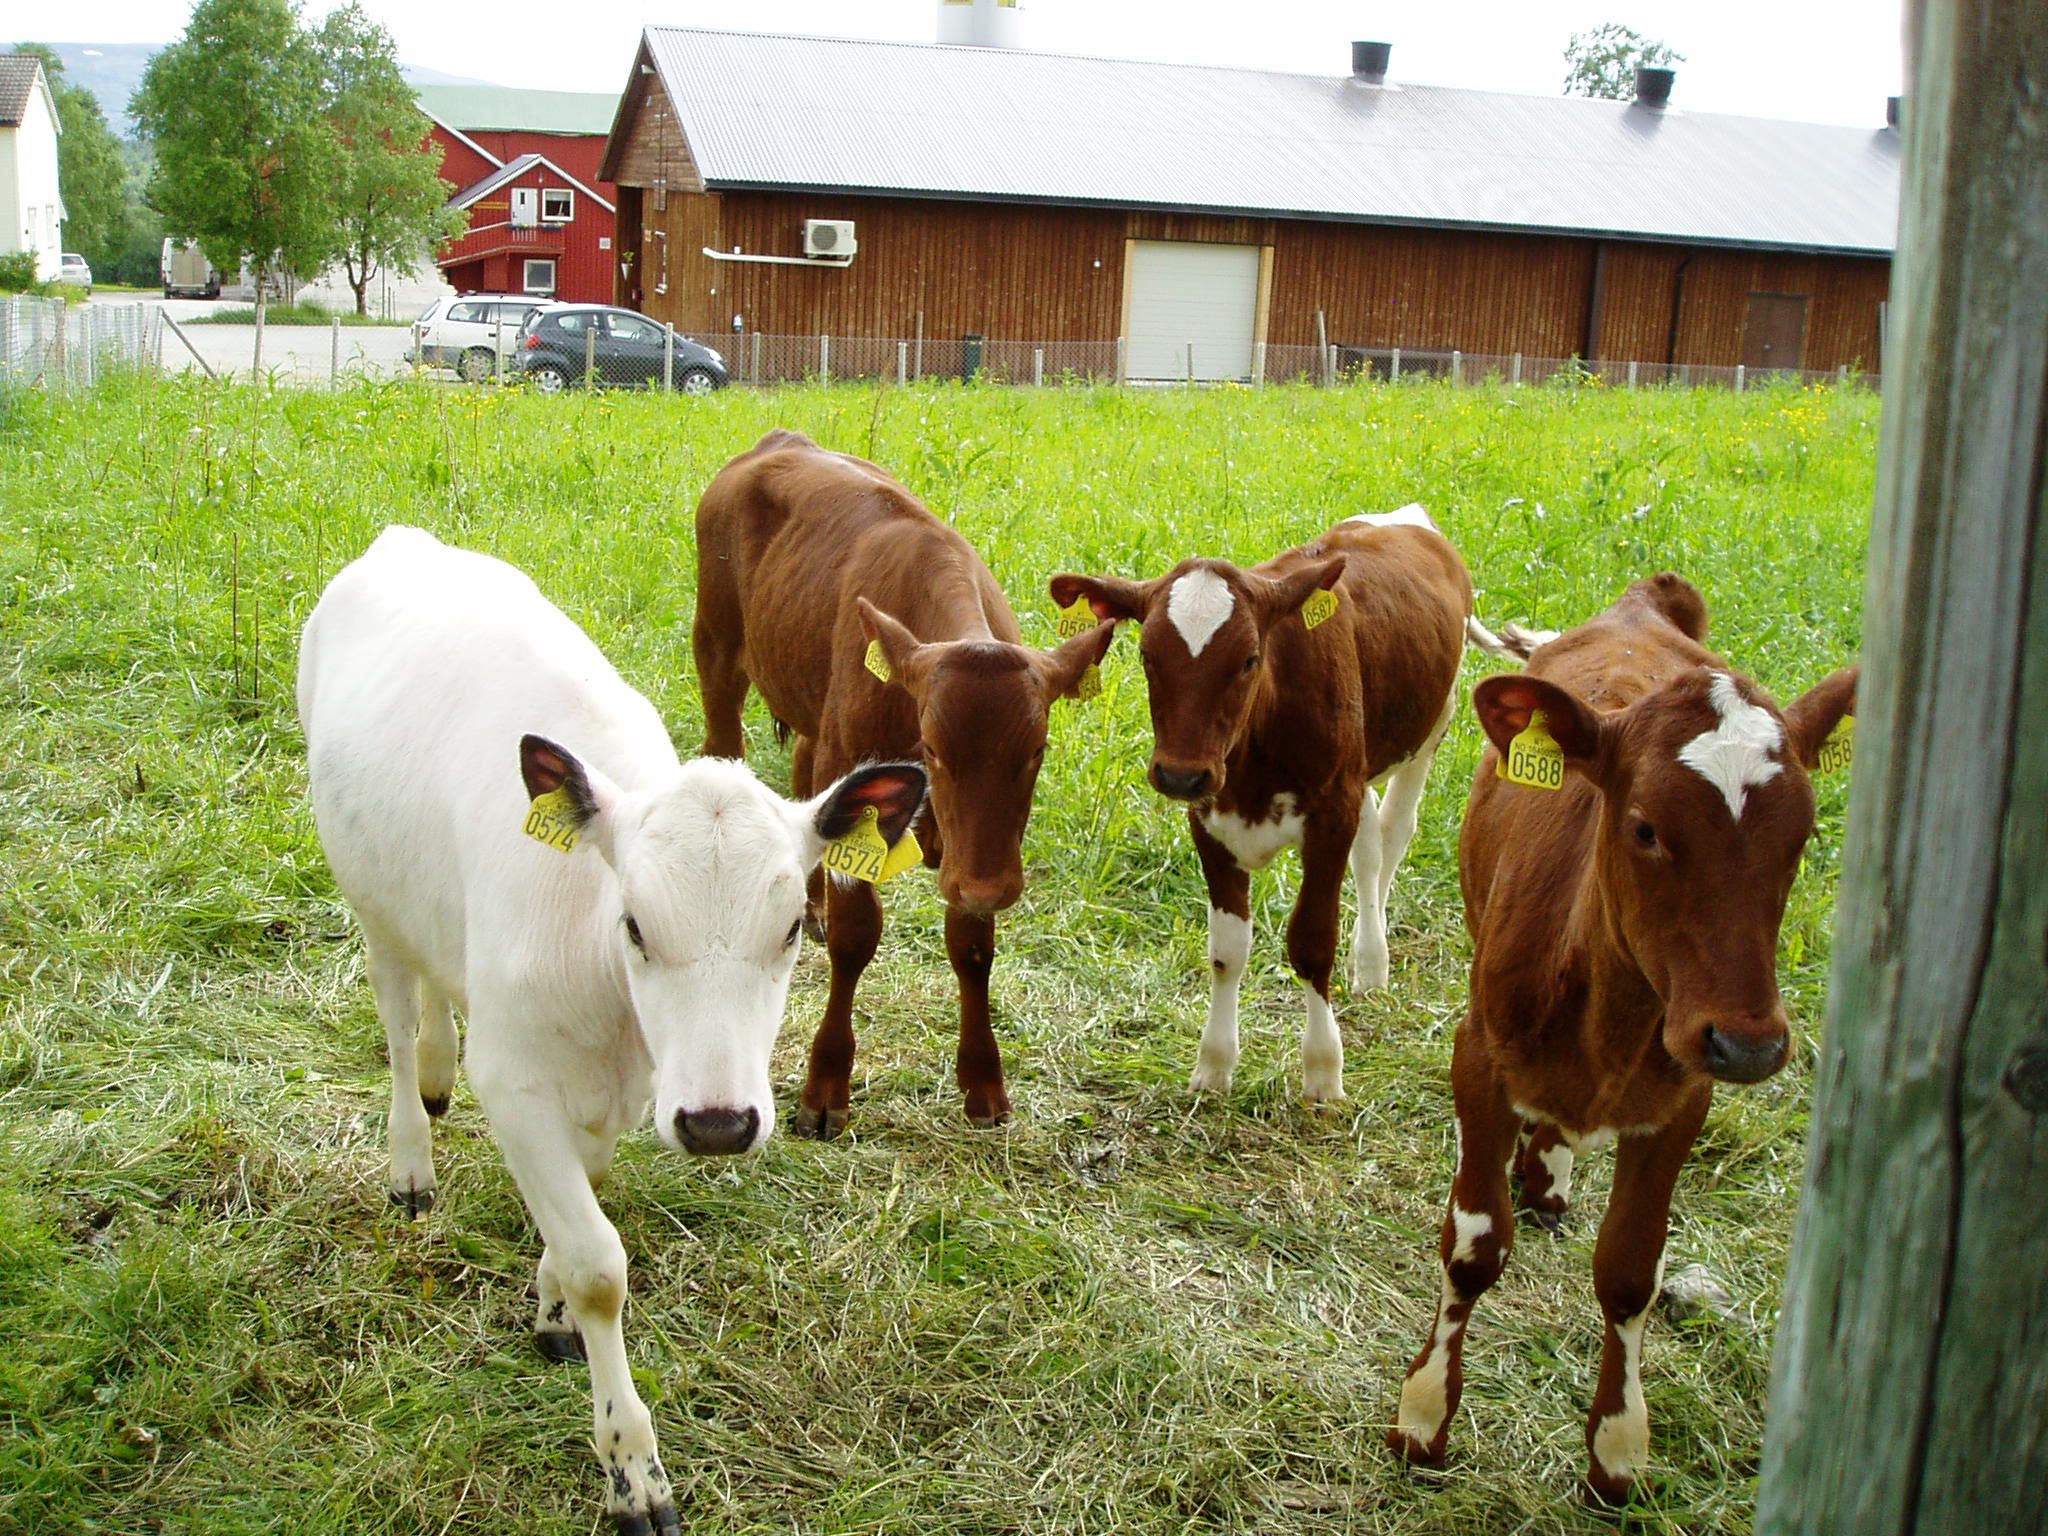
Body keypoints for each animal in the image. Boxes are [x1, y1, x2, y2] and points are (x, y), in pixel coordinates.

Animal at [298, 526, 925, 1533]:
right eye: (634, 924)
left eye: (795, 926)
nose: (719, 1123)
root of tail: (403, 539)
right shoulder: (516, 1082)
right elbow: (601, 1264)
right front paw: (632, 1468)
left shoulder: (626, 1092)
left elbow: (580, 1209)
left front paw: (550, 1305)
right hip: (368, 898)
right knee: (394, 1020)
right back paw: (410, 1157)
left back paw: (436, 1065)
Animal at [693, 429, 1116, 1136]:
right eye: (935, 747)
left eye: (1037, 749)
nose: (991, 886)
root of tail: (777, 441)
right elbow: (857, 937)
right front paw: (826, 1085)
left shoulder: (975, 852)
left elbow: (971, 947)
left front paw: (984, 1083)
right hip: (717, 651)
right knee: (724, 746)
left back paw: (809, 906)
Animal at [1050, 505, 1521, 1101]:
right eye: (1146, 654)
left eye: (1250, 659)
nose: (1180, 774)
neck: (1251, 765)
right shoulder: (1210, 819)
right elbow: (1228, 950)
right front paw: (1214, 1064)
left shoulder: (1331, 816)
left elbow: (1312, 942)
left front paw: (1323, 1070)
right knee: (1370, 852)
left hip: (1430, 730)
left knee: (1393, 835)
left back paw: (1374, 960)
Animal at [1384, 572, 1857, 1506]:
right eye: (1645, 827)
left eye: (1805, 836)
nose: (1750, 1043)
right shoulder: (1478, 1055)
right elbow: (1473, 1243)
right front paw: (1423, 1417)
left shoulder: (1683, 1099)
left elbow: (1632, 1271)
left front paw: (1617, 1448)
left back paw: (1550, 1172)